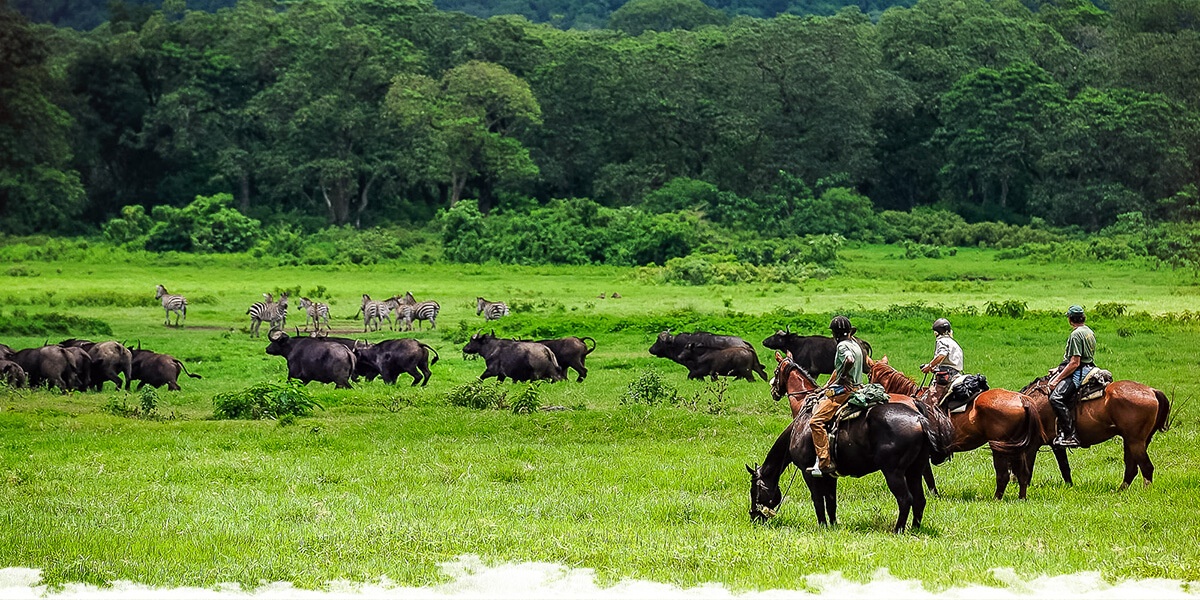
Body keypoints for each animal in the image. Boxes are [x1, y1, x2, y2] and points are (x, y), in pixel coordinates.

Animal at [748, 350, 945, 535]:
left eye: (754, 490)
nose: (753, 516)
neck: (801, 423)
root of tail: (918, 417)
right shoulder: (829, 475)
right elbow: (831, 501)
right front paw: (833, 525)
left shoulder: (807, 472)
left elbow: (818, 501)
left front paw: (822, 525)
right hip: (914, 470)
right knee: (919, 499)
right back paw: (915, 528)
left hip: (893, 472)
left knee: (905, 499)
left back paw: (898, 530)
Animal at [868, 355, 1046, 501]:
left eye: (869, 374)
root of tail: (1022, 398)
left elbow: (926, 476)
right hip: (1016, 448)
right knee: (1023, 473)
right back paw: (1021, 498)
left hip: (1000, 449)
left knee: (1003, 475)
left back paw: (996, 499)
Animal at [1022, 376, 1171, 489]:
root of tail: (1152, 390)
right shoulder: (1055, 446)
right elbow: (1064, 467)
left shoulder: (1036, 445)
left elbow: (1030, 468)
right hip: (1132, 441)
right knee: (1132, 468)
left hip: (1135, 441)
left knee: (1146, 467)